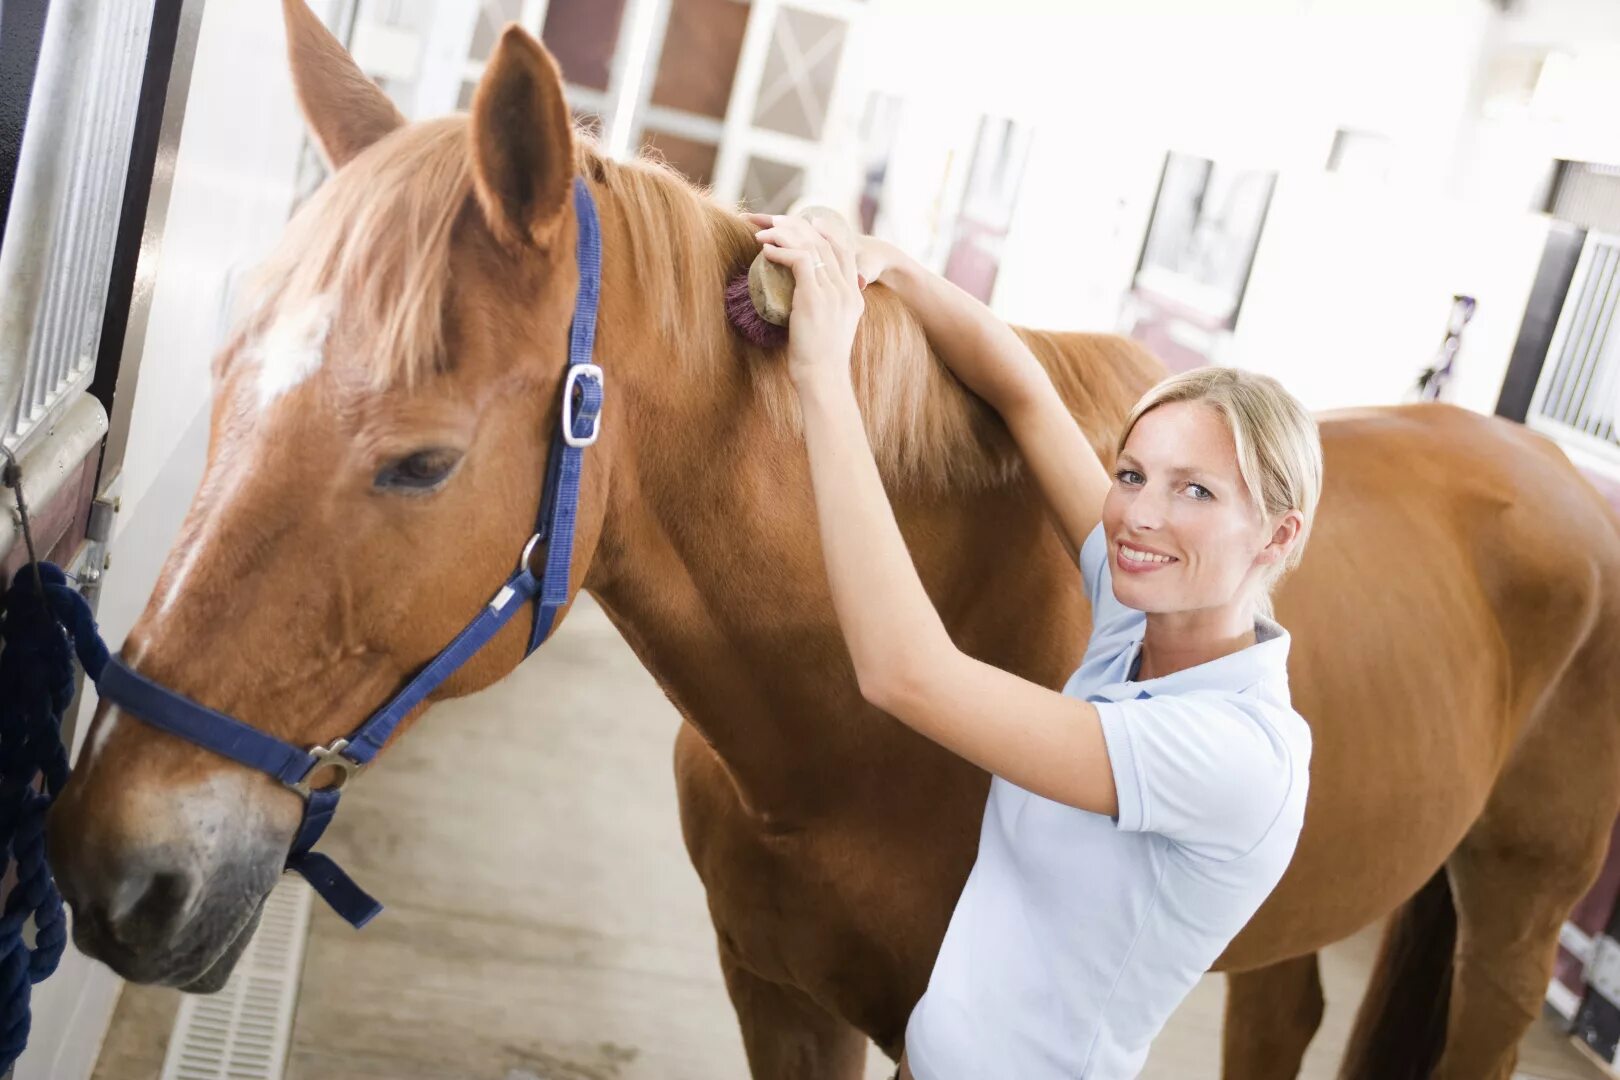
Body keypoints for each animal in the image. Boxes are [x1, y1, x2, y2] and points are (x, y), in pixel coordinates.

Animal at [44, 4, 1620, 1075]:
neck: (848, 733)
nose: (112, 869)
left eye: (421, 463)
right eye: (224, 377)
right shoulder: (779, 993)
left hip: (1514, 917)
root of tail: (1552, 465)